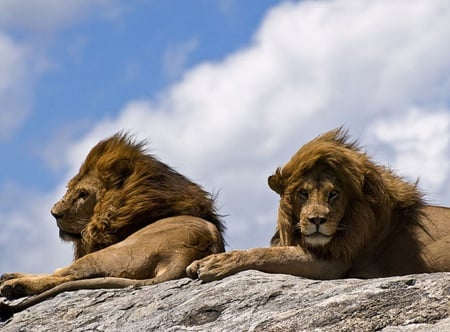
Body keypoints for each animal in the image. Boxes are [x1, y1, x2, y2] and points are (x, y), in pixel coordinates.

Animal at [0, 132, 225, 320]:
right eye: (69, 189)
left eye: (83, 194)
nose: (54, 213)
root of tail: (183, 256)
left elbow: (59, 272)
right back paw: (10, 277)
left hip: (109, 254)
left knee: (66, 275)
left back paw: (13, 285)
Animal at [185, 128, 448, 282]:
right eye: (303, 193)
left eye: (334, 194)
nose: (317, 221)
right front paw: (200, 261)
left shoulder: (332, 264)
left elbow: (266, 253)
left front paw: (215, 263)